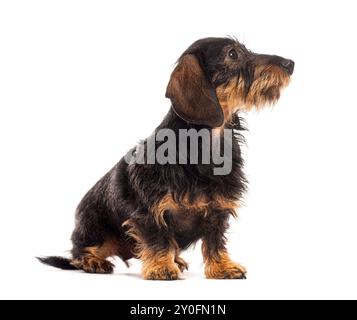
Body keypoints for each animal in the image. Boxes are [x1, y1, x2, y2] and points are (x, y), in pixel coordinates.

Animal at [40, 36, 294, 278]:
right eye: (233, 54)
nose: (290, 64)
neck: (204, 145)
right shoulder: (148, 210)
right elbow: (157, 238)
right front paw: (161, 267)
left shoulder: (218, 207)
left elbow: (215, 240)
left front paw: (222, 266)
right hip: (97, 231)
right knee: (79, 253)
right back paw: (94, 261)